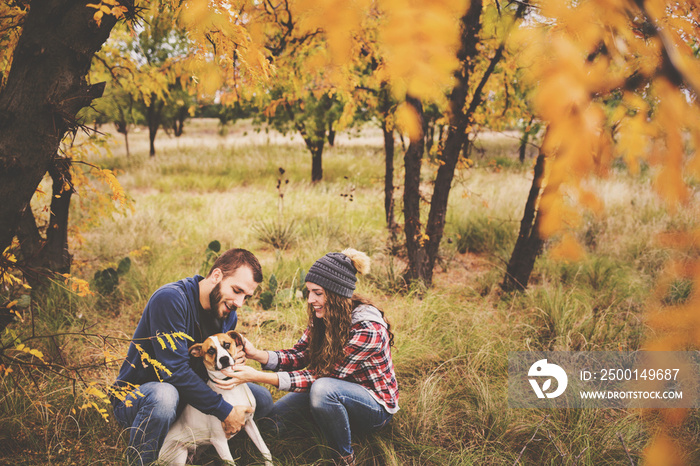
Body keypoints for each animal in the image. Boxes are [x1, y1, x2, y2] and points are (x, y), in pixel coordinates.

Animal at [157, 330, 272, 464]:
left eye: (227, 344)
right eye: (211, 351)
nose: (224, 359)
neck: (231, 388)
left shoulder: (249, 422)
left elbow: (265, 450)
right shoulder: (219, 441)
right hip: (179, 452)